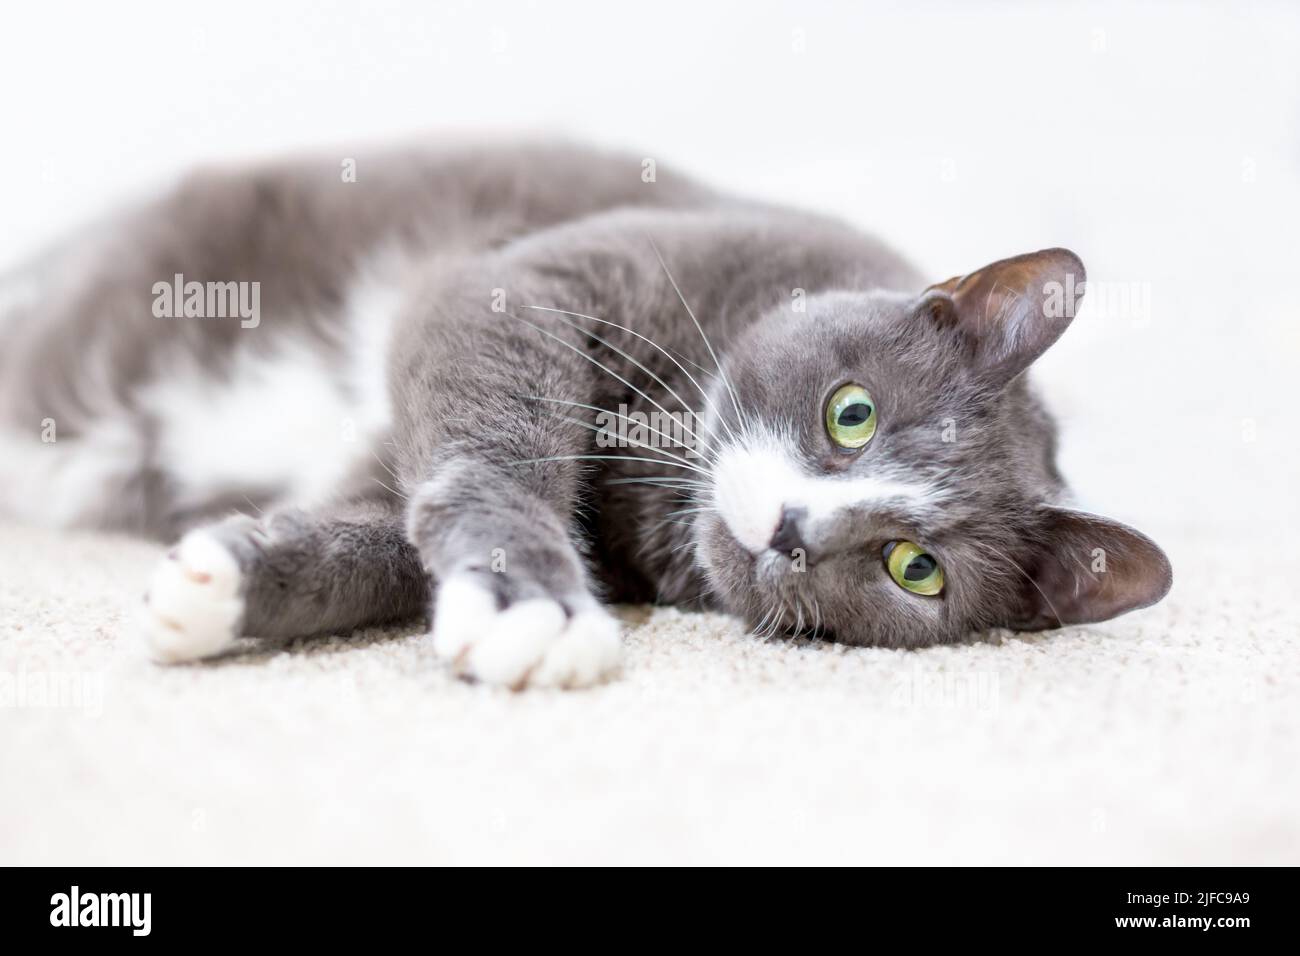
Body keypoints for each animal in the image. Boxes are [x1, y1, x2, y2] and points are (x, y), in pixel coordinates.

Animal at [0, 138, 1180, 686]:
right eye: (853, 414)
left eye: (915, 569)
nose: (794, 531)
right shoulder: (528, 280)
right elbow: (488, 441)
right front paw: (535, 600)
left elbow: (382, 537)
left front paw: (220, 589)